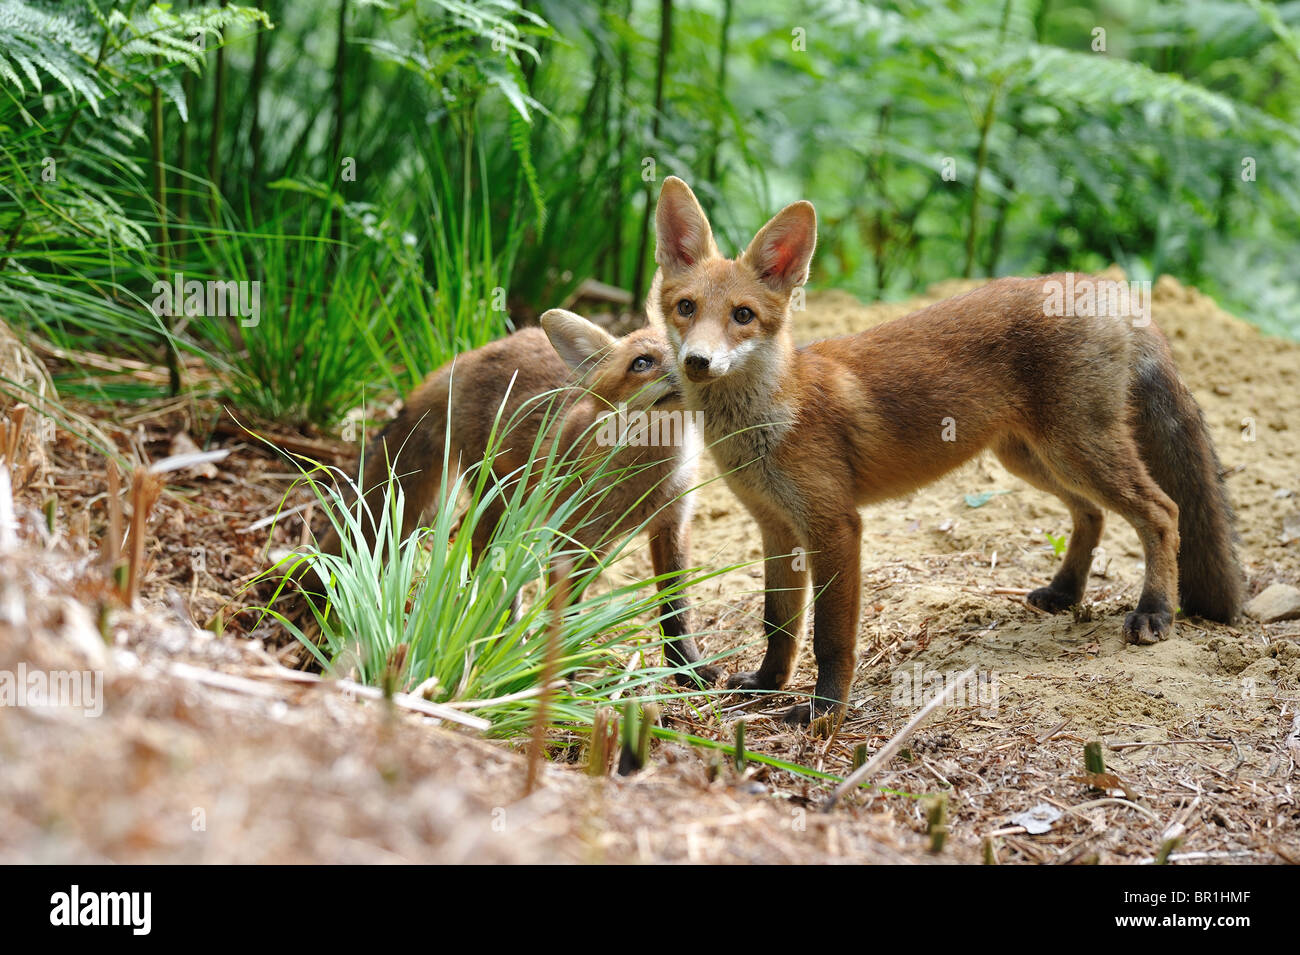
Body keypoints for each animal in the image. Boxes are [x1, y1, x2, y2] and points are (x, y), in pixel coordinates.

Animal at [290, 311, 717, 685]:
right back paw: (498, 637)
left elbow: (676, 608)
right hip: (498, 503)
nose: (691, 367)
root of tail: (468, 355)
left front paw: (688, 669)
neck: (646, 484)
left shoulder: (673, 525)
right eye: (642, 363)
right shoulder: (572, 541)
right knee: (480, 555)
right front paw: (560, 677)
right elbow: (565, 615)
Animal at [649, 176, 1243, 724]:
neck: (765, 422)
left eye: (743, 315)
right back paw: (1065, 592)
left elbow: (830, 638)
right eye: (686, 308)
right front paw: (766, 685)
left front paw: (824, 711)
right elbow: (779, 624)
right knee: (1092, 514)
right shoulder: (776, 526)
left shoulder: (835, 526)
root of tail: (1104, 288)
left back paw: (1155, 611)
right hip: (1033, 457)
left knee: (1162, 512)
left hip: (1077, 449)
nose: (697, 361)